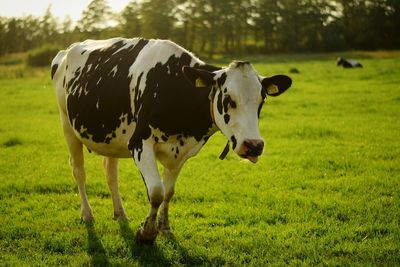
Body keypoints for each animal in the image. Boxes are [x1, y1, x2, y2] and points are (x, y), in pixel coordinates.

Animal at [51, 37, 292, 245]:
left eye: (262, 100)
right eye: (228, 98)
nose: (254, 145)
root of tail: (67, 50)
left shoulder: (182, 151)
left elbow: (168, 192)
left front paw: (164, 227)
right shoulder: (139, 143)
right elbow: (156, 191)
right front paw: (147, 233)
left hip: (112, 137)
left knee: (110, 173)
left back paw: (120, 213)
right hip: (66, 125)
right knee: (78, 171)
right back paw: (87, 214)